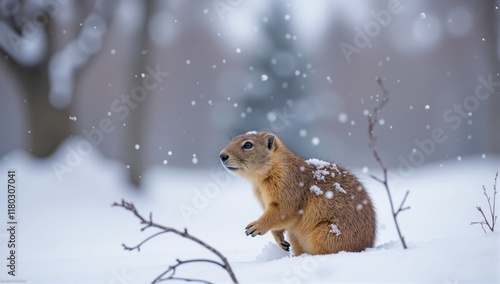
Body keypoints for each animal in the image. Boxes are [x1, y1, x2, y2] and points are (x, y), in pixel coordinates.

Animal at [219, 131, 376, 255]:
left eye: (248, 145)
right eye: (231, 140)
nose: (222, 155)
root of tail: (368, 245)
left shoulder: (287, 190)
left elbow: (282, 212)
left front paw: (254, 227)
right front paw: (281, 242)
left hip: (324, 234)